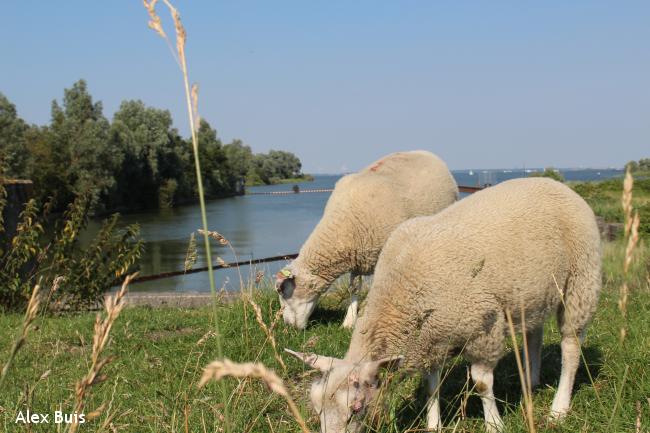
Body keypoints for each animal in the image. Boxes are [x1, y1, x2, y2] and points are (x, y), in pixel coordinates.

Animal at [274, 151, 456, 328]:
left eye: (282, 291)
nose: (288, 326)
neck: (343, 225)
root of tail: (428, 153)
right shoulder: (357, 256)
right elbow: (354, 288)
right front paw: (349, 321)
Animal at [286, 177, 600, 430]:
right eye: (316, 407)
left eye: (356, 409)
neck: (400, 294)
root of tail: (556, 183)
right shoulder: (430, 339)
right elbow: (431, 385)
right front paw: (434, 424)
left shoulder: (483, 328)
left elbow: (482, 383)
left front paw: (494, 424)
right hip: (531, 294)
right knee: (534, 335)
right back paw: (530, 383)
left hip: (580, 283)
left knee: (571, 347)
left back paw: (559, 407)